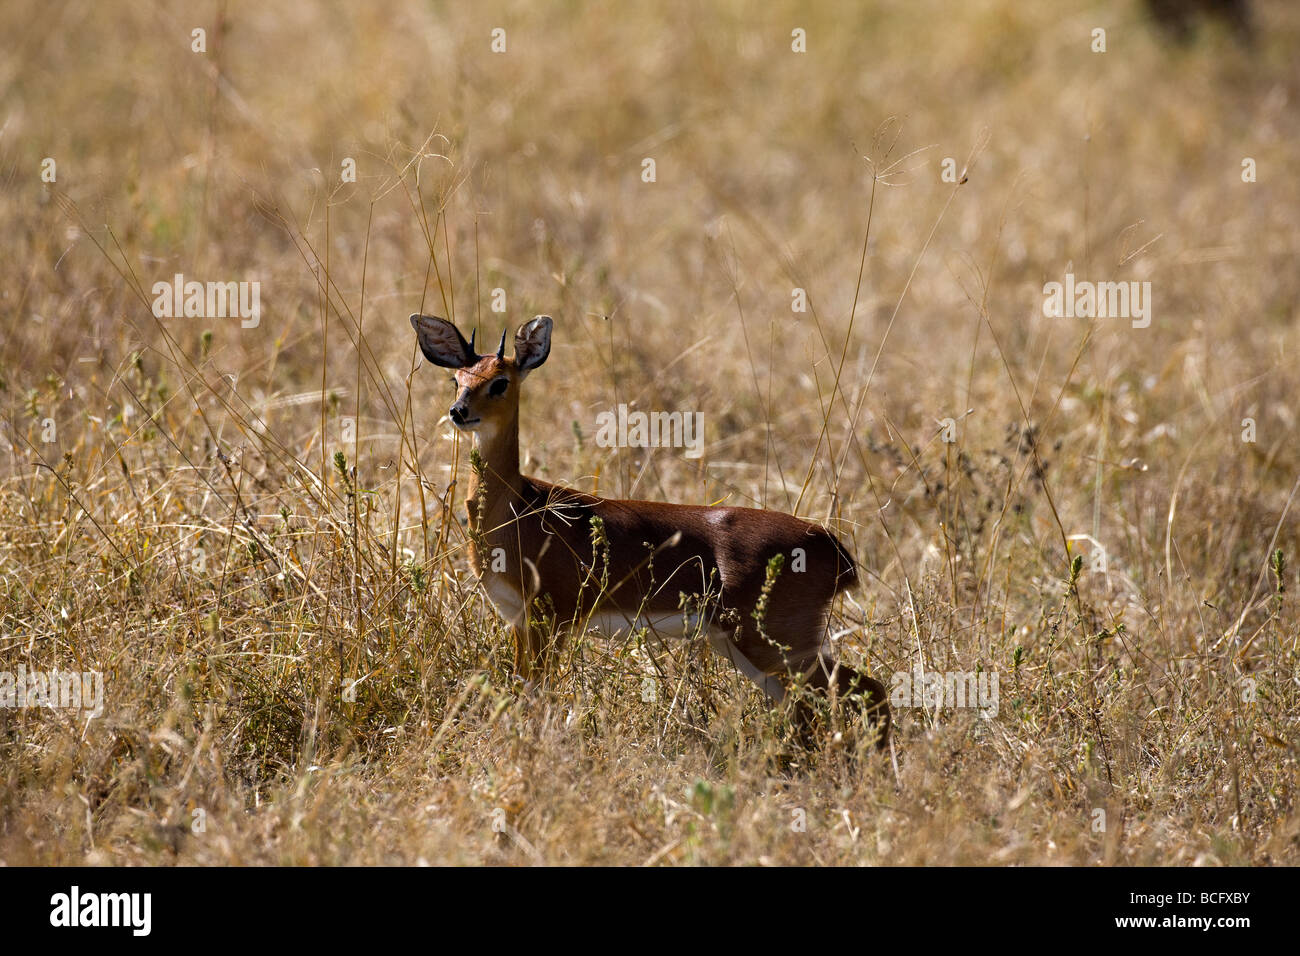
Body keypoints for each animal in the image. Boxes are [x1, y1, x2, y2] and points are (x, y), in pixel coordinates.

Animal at [410, 314, 889, 749]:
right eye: (457, 379)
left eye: (500, 382)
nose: (459, 412)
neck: (517, 511)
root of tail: (834, 549)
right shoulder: (519, 619)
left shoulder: (552, 617)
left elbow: (536, 695)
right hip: (747, 647)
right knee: (812, 708)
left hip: (776, 642)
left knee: (868, 690)